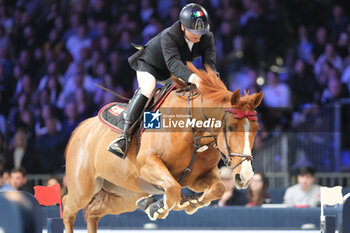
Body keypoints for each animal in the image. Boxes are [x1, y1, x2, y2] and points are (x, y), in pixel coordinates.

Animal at [62, 63, 262, 233]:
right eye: (230, 128)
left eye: (256, 129)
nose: (245, 177)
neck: (194, 131)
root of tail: (81, 127)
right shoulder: (148, 165)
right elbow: (173, 189)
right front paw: (159, 208)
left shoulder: (199, 177)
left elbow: (218, 188)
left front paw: (191, 202)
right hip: (83, 188)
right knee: (68, 207)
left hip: (124, 195)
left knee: (92, 212)